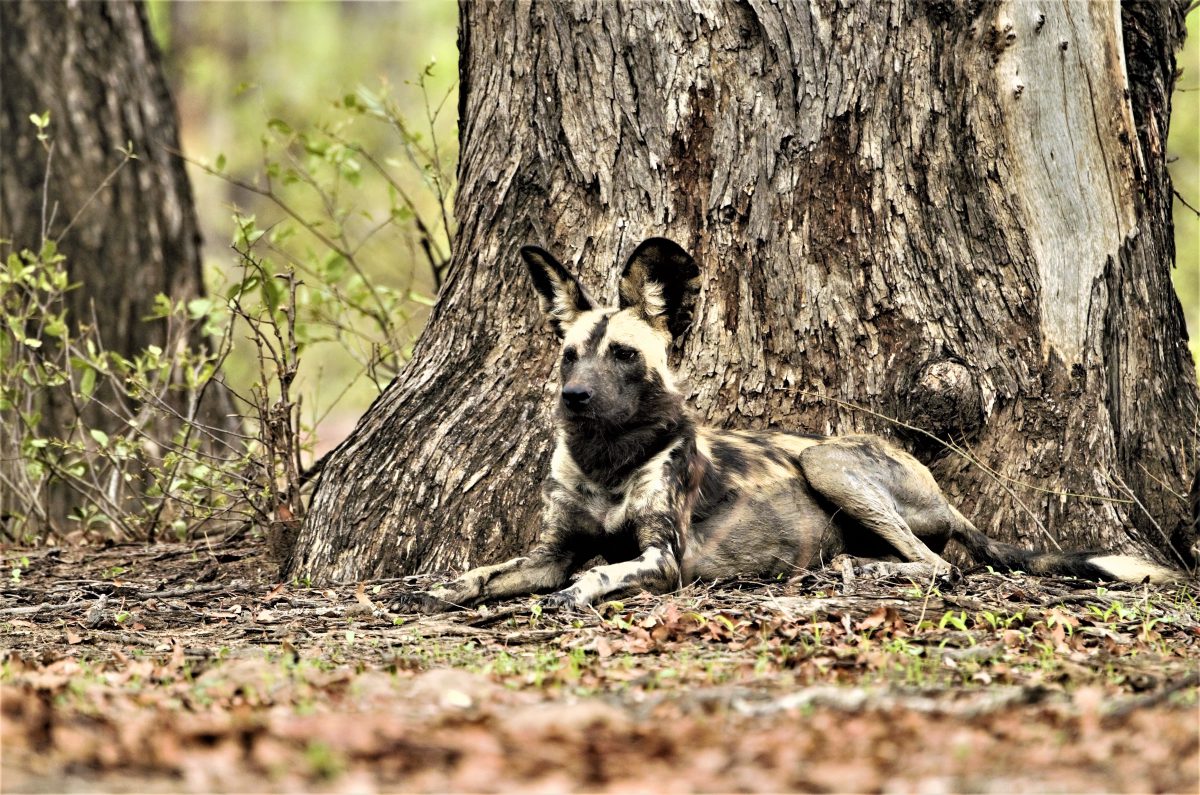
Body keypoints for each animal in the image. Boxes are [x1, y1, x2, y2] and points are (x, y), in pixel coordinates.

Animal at [396, 240, 1180, 612]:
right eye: (568, 355)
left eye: (623, 354)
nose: (574, 398)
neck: (607, 458)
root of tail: (942, 491)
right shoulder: (550, 550)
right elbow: (482, 574)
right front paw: (431, 590)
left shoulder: (663, 559)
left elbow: (598, 574)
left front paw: (575, 595)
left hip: (827, 461)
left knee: (941, 566)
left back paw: (864, 567)